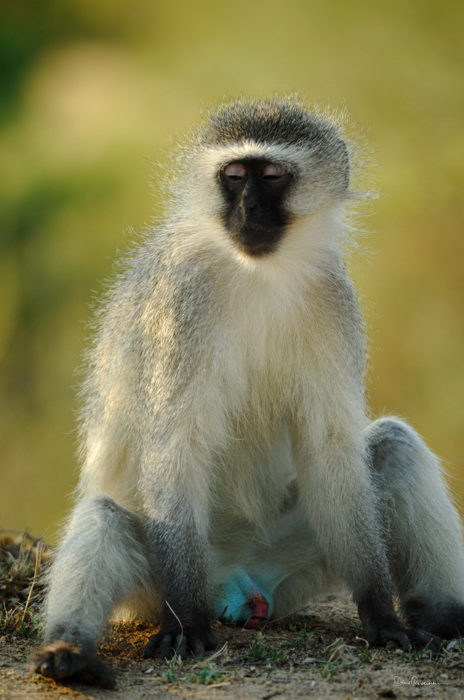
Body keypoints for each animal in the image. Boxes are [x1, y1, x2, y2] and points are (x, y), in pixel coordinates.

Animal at [32, 97, 464, 688]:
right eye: (234, 177)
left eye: (273, 177)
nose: (248, 209)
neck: (260, 271)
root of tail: (229, 580)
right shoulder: (181, 299)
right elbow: (173, 446)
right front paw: (185, 625)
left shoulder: (334, 295)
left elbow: (329, 449)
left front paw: (381, 614)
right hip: (149, 588)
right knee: (105, 517)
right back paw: (70, 651)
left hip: (286, 568)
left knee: (395, 446)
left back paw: (445, 618)